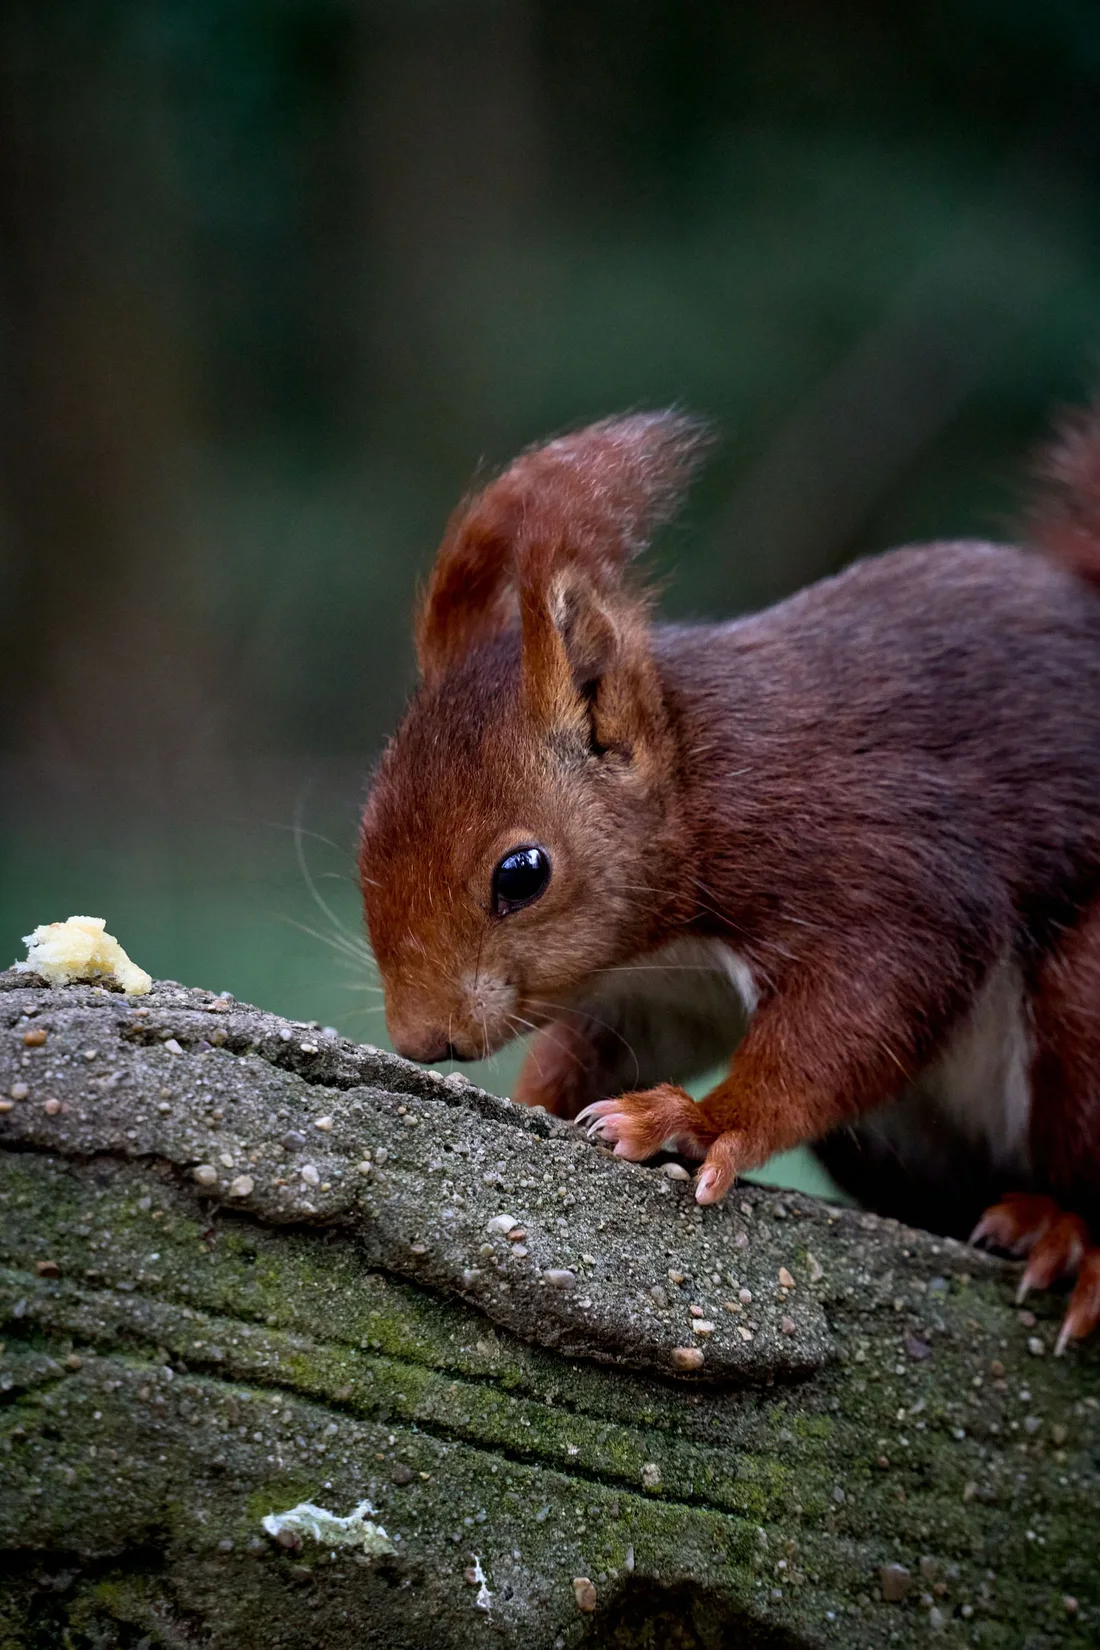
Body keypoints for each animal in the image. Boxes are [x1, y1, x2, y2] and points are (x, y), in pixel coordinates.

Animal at [358, 405, 1100, 1352]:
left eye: (521, 874)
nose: (423, 1040)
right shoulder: (668, 989)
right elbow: (608, 1045)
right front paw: (542, 1103)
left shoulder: (883, 865)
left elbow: (859, 1016)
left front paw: (698, 1121)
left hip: (1087, 1000)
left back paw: (1070, 1234)